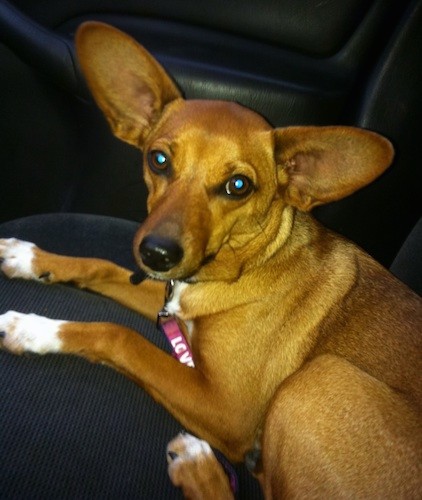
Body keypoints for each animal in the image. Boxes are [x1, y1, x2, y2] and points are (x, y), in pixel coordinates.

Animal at [0, 21, 420, 498]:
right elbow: (101, 265)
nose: (156, 253)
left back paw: (199, 467)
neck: (245, 266)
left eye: (239, 185)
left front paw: (33, 329)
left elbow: (118, 336)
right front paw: (28, 256)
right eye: (158, 159)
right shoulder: (171, 301)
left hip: (320, 381)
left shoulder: (224, 411)